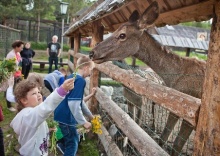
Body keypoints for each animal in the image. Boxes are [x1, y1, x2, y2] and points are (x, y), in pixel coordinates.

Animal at [89, 0, 206, 155]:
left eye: (122, 35)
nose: (92, 52)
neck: (175, 77)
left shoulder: (191, 116)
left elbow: (176, 146)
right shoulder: (175, 109)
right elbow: (163, 139)